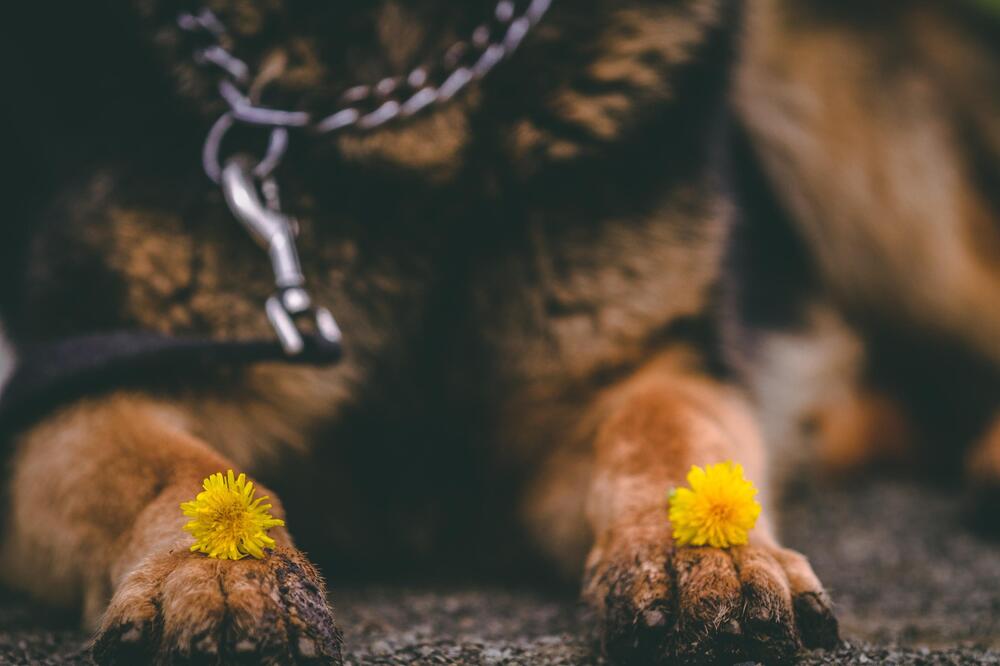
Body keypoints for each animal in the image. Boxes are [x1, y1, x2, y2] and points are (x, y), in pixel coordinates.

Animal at [13, 0, 992, 660]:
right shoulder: (62, 387)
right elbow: (175, 470)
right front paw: (217, 571)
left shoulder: (635, 373)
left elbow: (671, 435)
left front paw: (708, 551)